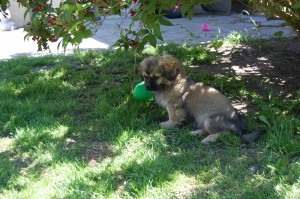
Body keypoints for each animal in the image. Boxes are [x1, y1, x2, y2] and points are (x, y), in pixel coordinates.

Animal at [137, 54, 266, 145]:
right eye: (145, 77)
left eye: (156, 77)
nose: (147, 86)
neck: (172, 83)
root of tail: (239, 128)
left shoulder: (174, 105)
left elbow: (173, 117)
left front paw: (168, 124)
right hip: (203, 119)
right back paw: (196, 133)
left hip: (209, 119)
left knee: (226, 132)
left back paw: (209, 139)